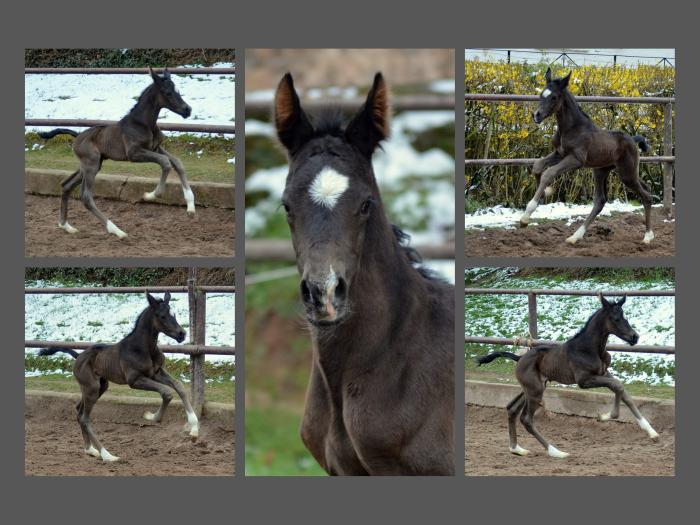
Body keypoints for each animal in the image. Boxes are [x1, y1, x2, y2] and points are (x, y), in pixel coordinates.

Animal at [38, 67, 197, 237]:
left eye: (177, 90)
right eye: (167, 92)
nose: (187, 110)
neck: (142, 123)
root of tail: (77, 136)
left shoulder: (155, 148)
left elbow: (177, 163)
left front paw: (190, 207)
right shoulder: (134, 153)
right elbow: (165, 162)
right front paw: (151, 195)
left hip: (91, 165)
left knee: (66, 185)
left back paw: (65, 225)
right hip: (91, 165)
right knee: (86, 197)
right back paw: (117, 231)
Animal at [38, 292, 200, 460]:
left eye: (174, 314)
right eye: (162, 316)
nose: (181, 334)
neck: (143, 348)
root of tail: (78, 357)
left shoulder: (156, 373)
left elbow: (179, 386)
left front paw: (194, 429)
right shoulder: (134, 380)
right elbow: (166, 392)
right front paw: (152, 416)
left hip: (100, 386)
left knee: (79, 411)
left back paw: (90, 450)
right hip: (91, 388)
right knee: (84, 418)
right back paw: (108, 455)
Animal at [478, 294, 660, 458]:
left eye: (624, 316)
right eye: (616, 318)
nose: (634, 337)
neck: (588, 348)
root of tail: (519, 358)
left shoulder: (604, 373)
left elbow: (622, 391)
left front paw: (652, 432)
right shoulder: (584, 381)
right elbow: (617, 386)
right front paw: (607, 416)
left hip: (532, 388)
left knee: (511, 408)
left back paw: (516, 449)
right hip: (535, 390)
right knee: (527, 419)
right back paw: (556, 452)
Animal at [520, 66, 656, 245]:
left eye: (554, 97)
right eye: (541, 94)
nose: (536, 115)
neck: (571, 128)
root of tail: (633, 140)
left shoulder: (576, 159)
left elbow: (549, 173)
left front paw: (526, 217)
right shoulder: (559, 154)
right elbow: (537, 166)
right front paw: (542, 195)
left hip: (627, 174)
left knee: (646, 196)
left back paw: (648, 236)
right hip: (602, 171)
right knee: (601, 200)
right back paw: (575, 236)